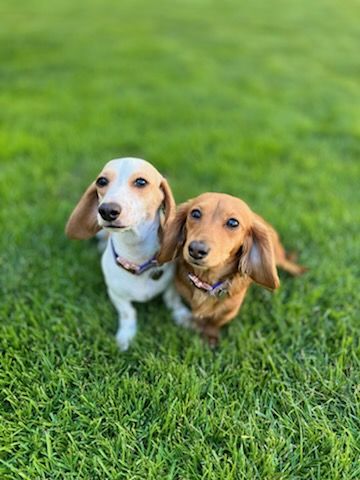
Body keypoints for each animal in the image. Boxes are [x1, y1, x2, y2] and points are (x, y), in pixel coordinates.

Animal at [65, 158, 190, 348]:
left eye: (141, 182)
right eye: (101, 181)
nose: (107, 210)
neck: (135, 256)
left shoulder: (171, 285)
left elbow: (172, 299)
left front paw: (182, 315)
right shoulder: (116, 295)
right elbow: (128, 312)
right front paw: (126, 337)